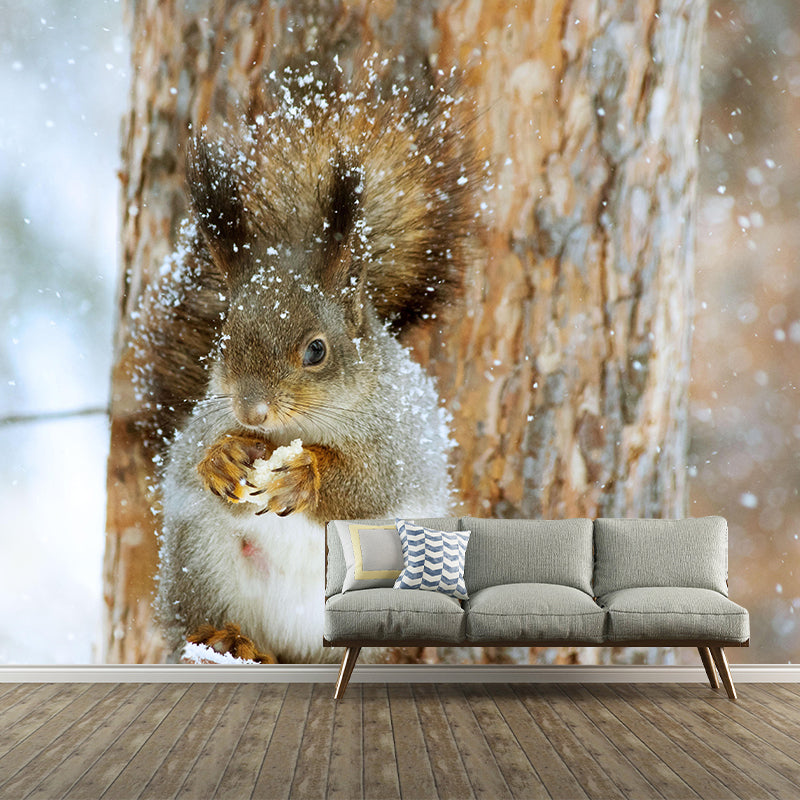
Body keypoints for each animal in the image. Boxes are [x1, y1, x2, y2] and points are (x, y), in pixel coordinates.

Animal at [150, 56, 481, 663]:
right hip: (197, 558)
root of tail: (293, 646)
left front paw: (307, 474)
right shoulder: (201, 423)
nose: (251, 412)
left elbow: (370, 486)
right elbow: (187, 460)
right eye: (224, 337)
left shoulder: (401, 443)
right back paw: (227, 639)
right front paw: (222, 458)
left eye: (317, 350)